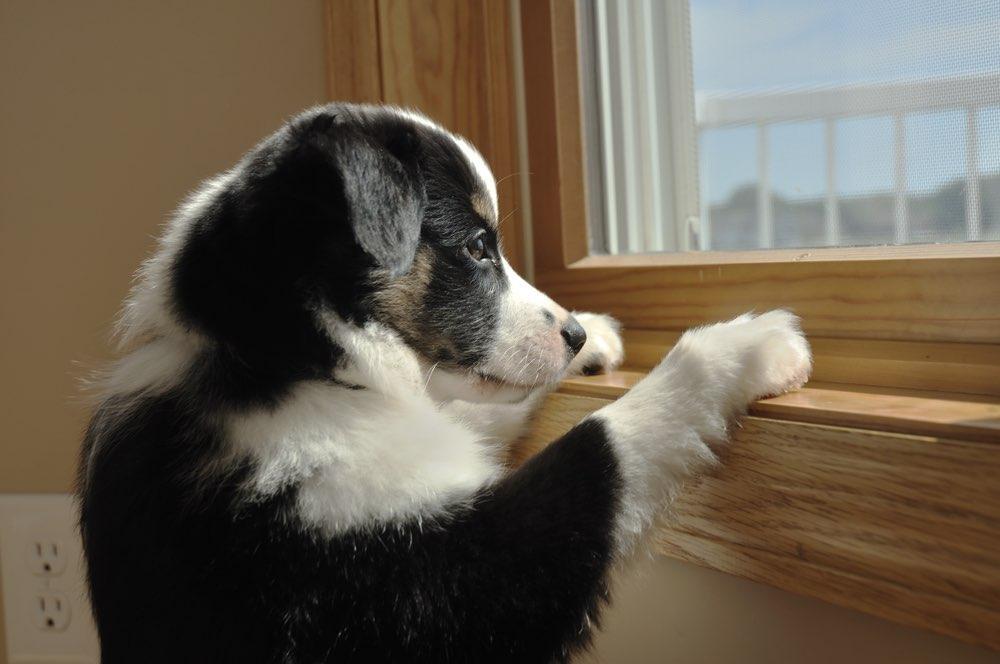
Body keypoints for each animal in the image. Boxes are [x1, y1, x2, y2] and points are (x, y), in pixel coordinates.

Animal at [78, 104, 812, 664]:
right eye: (479, 247)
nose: (574, 333)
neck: (295, 365)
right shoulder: (433, 583)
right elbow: (602, 444)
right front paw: (748, 345)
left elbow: (481, 411)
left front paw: (599, 339)